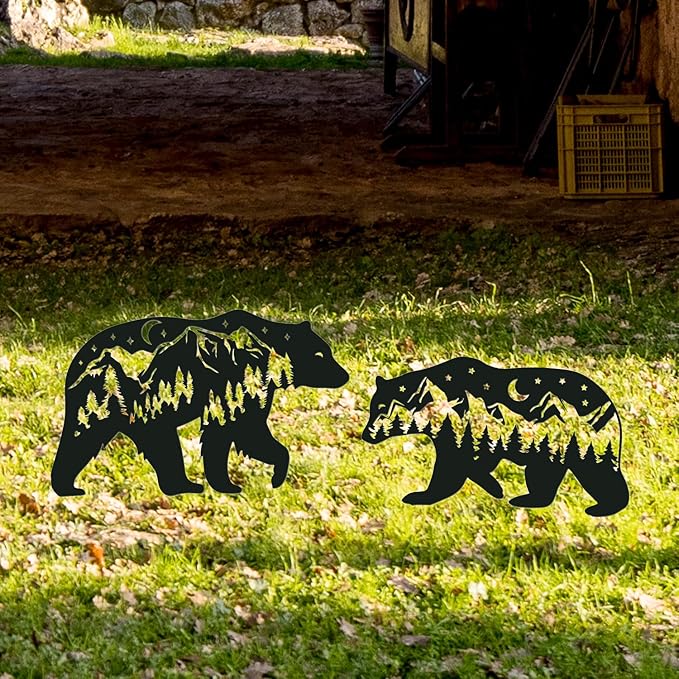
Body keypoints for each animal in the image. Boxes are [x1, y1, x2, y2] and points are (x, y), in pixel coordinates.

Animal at [51, 310, 348, 496]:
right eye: (321, 353)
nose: (344, 375)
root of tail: (78, 357)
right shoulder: (233, 381)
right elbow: (238, 432)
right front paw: (248, 480)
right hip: (118, 396)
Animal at [362, 357, 629, 517]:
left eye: (381, 409)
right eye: (372, 407)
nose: (366, 434)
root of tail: (609, 405)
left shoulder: (461, 427)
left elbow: (450, 471)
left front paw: (420, 495)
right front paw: (494, 486)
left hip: (578, 441)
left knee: (598, 474)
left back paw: (603, 506)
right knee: (544, 476)